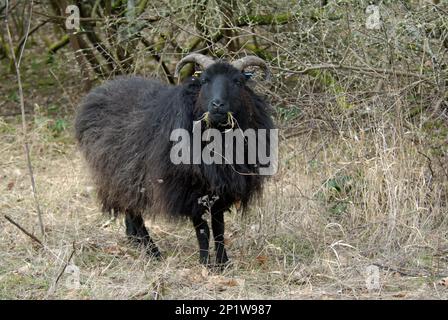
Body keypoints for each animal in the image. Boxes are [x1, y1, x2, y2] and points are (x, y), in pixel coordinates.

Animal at [75, 54, 274, 264]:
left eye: (238, 81)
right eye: (204, 80)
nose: (218, 105)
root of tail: (96, 93)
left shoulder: (220, 188)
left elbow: (219, 227)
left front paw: (223, 262)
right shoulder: (189, 188)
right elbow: (202, 228)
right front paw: (206, 262)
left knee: (131, 208)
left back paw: (135, 240)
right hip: (115, 173)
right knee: (133, 210)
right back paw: (152, 251)